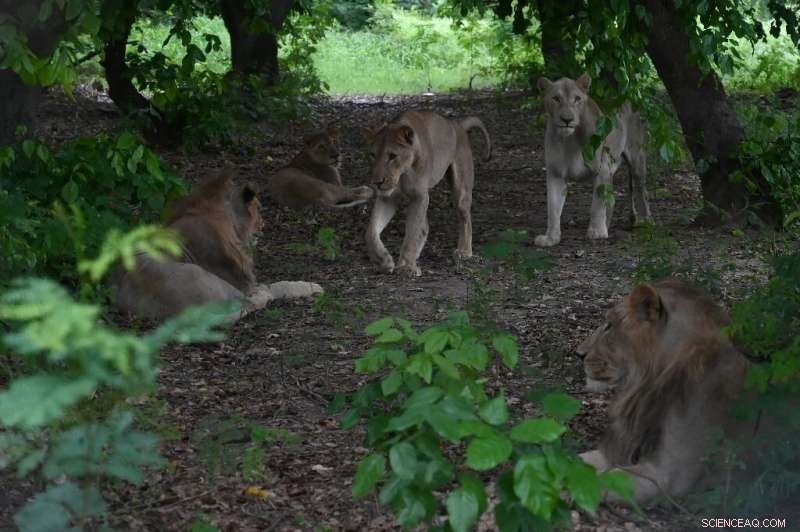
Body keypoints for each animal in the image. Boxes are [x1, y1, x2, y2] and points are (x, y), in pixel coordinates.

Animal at [113, 173, 322, 322]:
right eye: (259, 208)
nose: (264, 225)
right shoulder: (244, 283)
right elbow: (278, 285)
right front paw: (312, 286)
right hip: (206, 279)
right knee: (251, 302)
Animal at [361, 111, 492, 277]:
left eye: (392, 156)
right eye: (372, 155)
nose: (377, 182)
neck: (402, 173)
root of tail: (457, 124)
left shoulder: (419, 196)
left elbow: (412, 231)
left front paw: (406, 267)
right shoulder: (387, 198)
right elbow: (370, 231)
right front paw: (382, 261)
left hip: (461, 189)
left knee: (465, 219)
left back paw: (464, 252)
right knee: (424, 227)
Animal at [535, 74, 652, 247]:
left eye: (577, 99)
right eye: (556, 98)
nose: (567, 119)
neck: (569, 140)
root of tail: (627, 97)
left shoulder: (602, 170)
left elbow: (597, 204)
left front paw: (596, 232)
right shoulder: (555, 174)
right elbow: (553, 208)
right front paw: (551, 238)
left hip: (637, 158)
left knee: (641, 191)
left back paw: (646, 221)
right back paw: (608, 224)